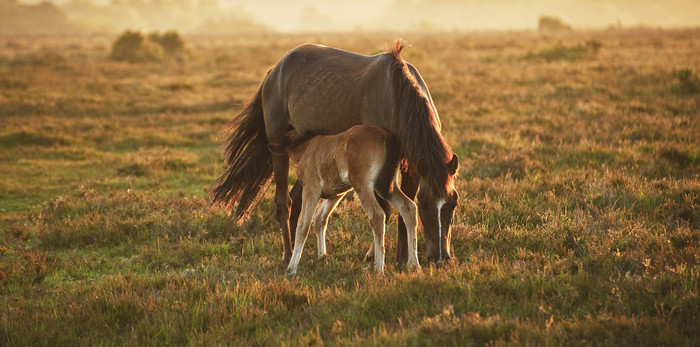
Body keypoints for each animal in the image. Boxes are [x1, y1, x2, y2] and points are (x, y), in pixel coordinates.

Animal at [284, 126, 422, 276]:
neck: (306, 148)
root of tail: (386, 136)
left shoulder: (311, 189)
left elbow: (303, 226)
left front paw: (291, 268)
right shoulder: (336, 194)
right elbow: (320, 218)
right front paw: (322, 256)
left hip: (363, 185)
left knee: (378, 216)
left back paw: (379, 270)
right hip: (387, 186)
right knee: (408, 207)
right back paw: (414, 264)